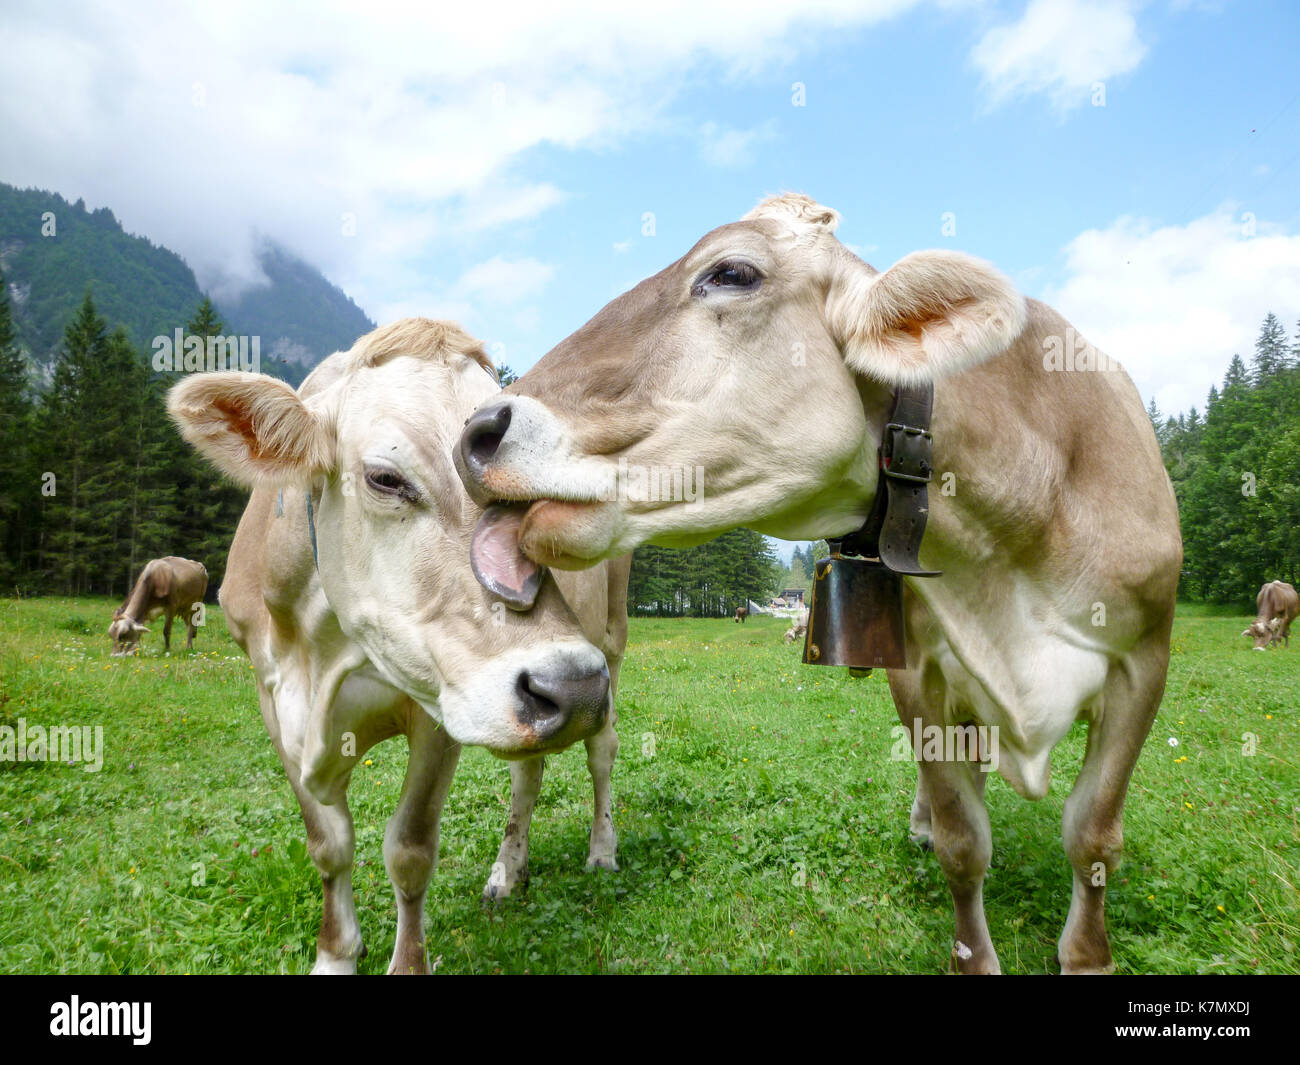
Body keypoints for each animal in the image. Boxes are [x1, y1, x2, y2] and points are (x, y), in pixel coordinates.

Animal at [168, 318, 629, 974]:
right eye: (386, 479)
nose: (574, 685)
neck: (323, 656)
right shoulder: (271, 696)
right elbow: (328, 844)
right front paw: (336, 953)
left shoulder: (438, 703)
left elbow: (409, 849)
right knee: (528, 772)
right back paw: (507, 871)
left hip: (609, 643)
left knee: (601, 752)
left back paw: (602, 849)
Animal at [454, 194, 1183, 975]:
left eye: (732, 272)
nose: (476, 430)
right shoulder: (919, 673)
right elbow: (965, 841)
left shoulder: (1145, 663)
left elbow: (1093, 835)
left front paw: (1089, 952)